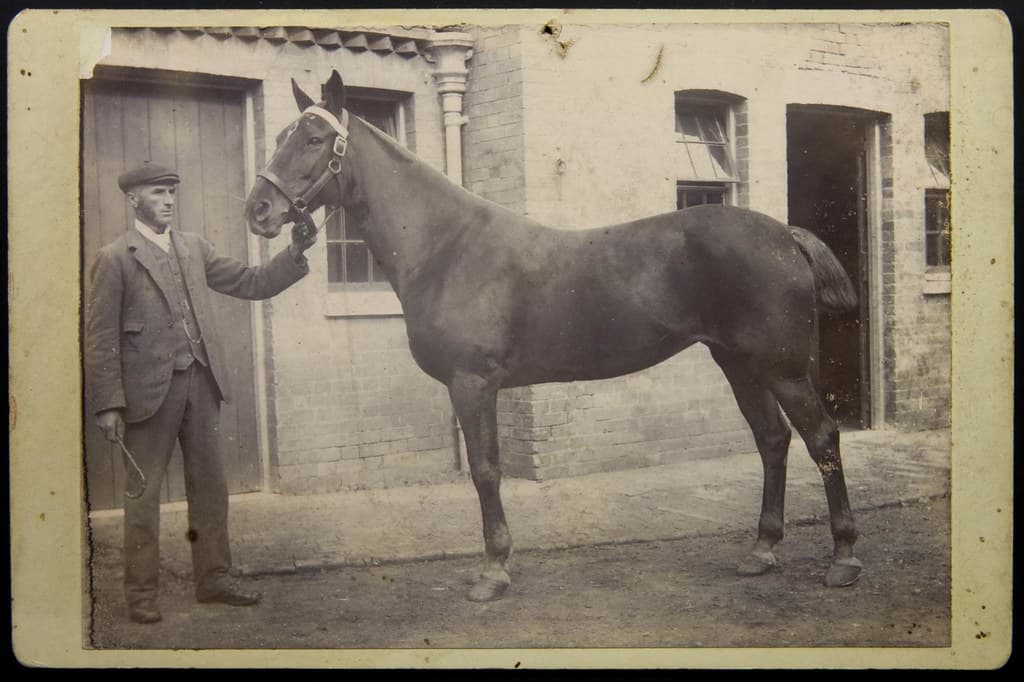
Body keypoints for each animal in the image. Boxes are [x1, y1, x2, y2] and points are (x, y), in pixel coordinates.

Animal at [245, 70, 863, 602]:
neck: (446, 246)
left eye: (314, 138)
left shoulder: (472, 384)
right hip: (739, 365)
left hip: (782, 371)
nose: (259, 209)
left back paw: (844, 559)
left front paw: (493, 570)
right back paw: (761, 550)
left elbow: (485, 470)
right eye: (279, 136)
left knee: (822, 439)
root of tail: (784, 234)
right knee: (772, 440)